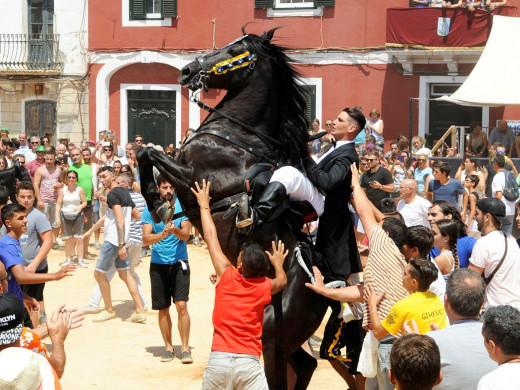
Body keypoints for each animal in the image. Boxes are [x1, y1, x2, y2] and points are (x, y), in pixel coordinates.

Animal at [136, 28, 328, 390]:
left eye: (234, 49)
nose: (187, 70)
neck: (236, 137)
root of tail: (321, 289)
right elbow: (144, 153)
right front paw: (159, 204)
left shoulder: (193, 177)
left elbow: (148, 153)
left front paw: (157, 202)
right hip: (285, 339)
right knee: (306, 364)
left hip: (270, 335)